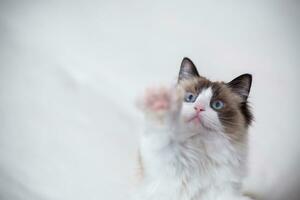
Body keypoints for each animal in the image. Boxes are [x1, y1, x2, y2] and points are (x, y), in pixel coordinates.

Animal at [135, 57, 254, 200]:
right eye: (190, 97)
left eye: (217, 105)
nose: (199, 108)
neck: (199, 150)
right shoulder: (162, 158)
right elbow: (164, 135)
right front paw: (159, 103)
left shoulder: (226, 191)